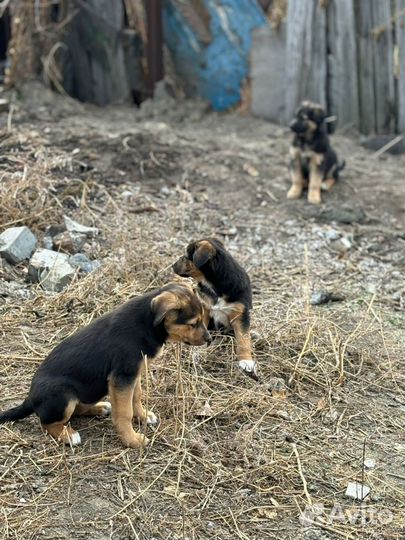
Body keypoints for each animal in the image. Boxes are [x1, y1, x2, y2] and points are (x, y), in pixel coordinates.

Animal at [0, 282, 211, 448]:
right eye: (193, 323)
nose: (209, 339)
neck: (148, 323)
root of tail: (29, 398)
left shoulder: (133, 374)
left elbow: (136, 397)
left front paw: (143, 416)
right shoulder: (122, 377)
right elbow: (124, 412)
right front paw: (132, 440)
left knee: (77, 409)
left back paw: (100, 408)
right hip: (64, 395)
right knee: (46, 422)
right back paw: (68, 435)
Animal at [171, 240, 256, 380]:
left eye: (186, 256)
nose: (172, 266)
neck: (215, 286)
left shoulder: (240, 314)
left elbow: (243, 339)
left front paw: (246, 362)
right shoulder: (204, 308)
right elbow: (202, 330)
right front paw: (199, 352)